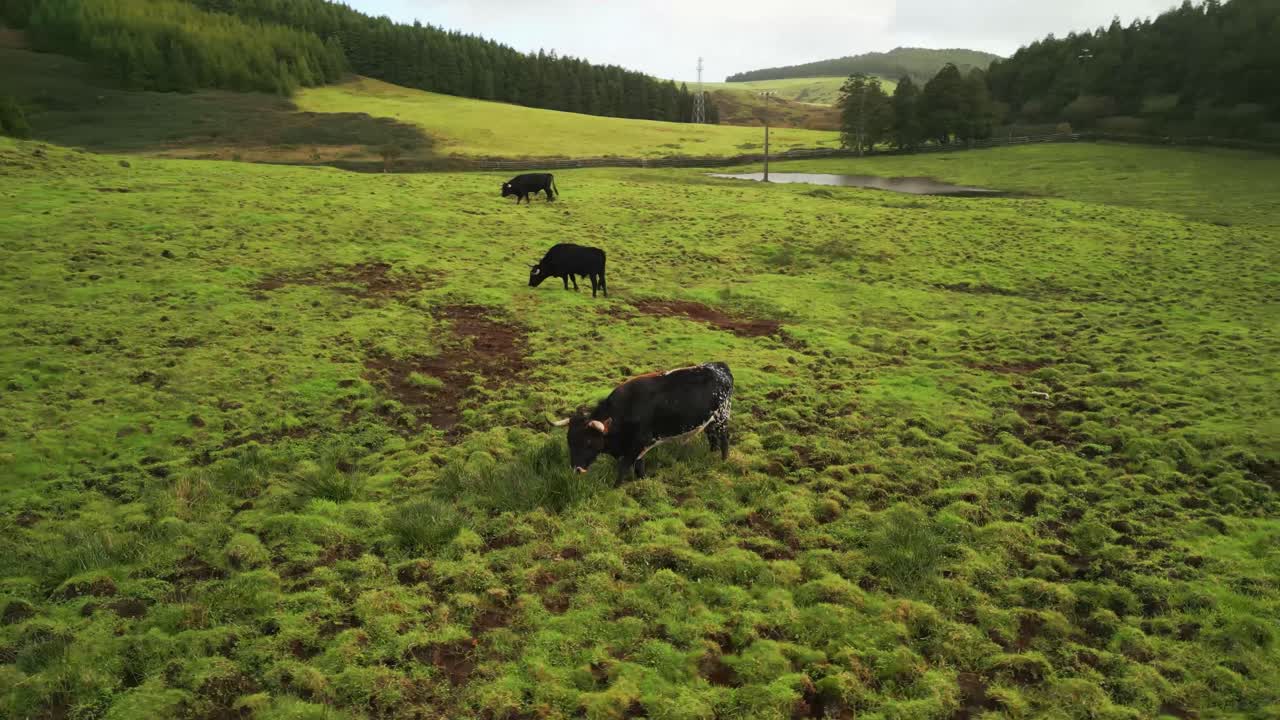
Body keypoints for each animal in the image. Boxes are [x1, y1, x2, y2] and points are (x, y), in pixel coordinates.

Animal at [552, 362, 733, 482]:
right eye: (569, 441)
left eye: (589, 442)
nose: (577, 469)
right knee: (712, 438)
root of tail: (719, 366)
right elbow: (639, 467)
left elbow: (623, 469)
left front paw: (615, 488)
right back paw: (711, 454)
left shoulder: (639, 444)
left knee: (723, 440)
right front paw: (642, 481)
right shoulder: (636, 448)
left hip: (722, 418)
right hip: (709, 421)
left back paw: (723, 460)